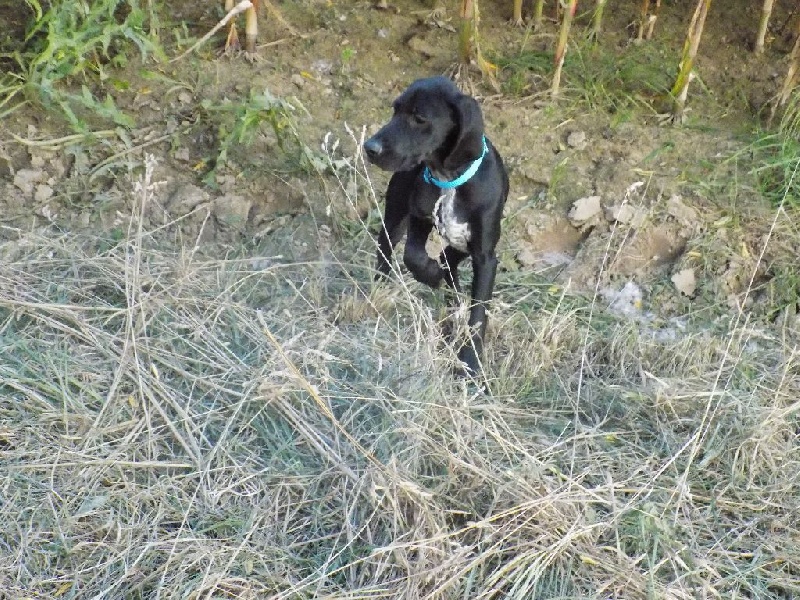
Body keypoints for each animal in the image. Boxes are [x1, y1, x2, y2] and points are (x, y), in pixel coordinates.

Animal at [362, 75, 506, 376]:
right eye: (395, 110)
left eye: (419, 118)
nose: (370, 147)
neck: (450, 178)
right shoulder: (419, 217)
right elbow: (413, 256)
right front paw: (430, 275)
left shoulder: (485, 256)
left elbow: (478, 314)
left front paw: (470, 362)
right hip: (395, 216)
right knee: (386, 253)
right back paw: (380, 292)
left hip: (461, 246)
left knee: (448, 261)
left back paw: (454, 304)